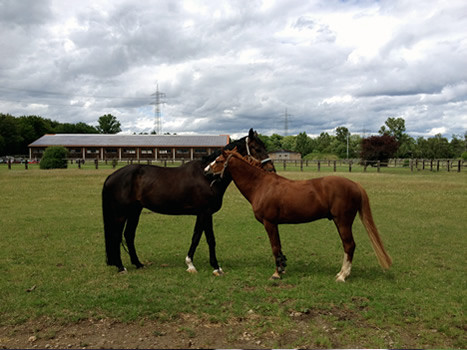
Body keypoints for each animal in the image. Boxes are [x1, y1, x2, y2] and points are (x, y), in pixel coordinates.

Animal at [102, 129, 274, 274]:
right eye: (256, 148)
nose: (271, 169)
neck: (207, 176)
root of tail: (112, 176)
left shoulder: (202, 214)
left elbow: (196, 236)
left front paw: (190, 264)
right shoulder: (206, 213)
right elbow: (210, 239)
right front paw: (216, 267)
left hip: (134, 211)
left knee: (129, 235)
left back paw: (138, 264)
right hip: (121, 213)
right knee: (117, 236)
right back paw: (121, 267)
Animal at [207, 149, 394, 280]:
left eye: (219, 160)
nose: (206, 170)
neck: (261, 185)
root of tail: (354, 184)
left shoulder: (269, 223)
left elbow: (274, 247)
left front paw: (276, 274)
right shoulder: (275, 224)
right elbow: (279, 247)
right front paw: (282, 268)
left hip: (343, 222)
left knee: (349, 245)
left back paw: (342, 276)